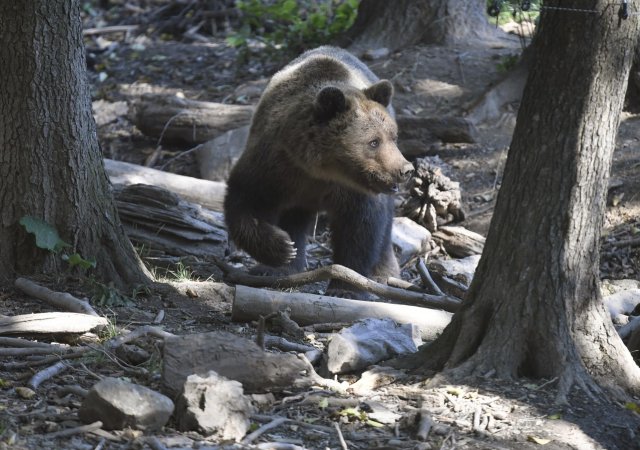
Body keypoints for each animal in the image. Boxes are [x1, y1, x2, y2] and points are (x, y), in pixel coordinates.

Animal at [225, 44, 412, 292]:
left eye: (393, 136)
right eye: (374, 141)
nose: (405, 169)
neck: (319, 168)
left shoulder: (354, 192)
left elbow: (361, 228)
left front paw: (347, 284)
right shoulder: (274, 166)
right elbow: (245, 201)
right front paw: (282, 249)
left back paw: (384, 272)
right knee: (294, 217)